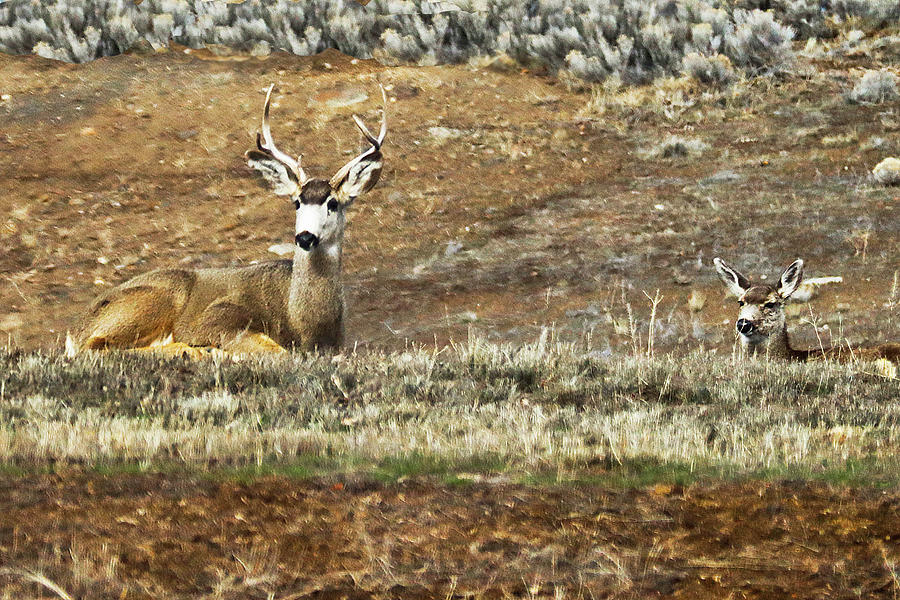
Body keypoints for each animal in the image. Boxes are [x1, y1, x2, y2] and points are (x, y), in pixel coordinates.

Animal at [65, 84, 384, 356]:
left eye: (333, 203)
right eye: (296, 202)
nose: (305, 237)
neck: (304, 324)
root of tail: (74, 331)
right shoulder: (216, 316)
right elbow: (274, 349)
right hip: (158, 297)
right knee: (98, 345)